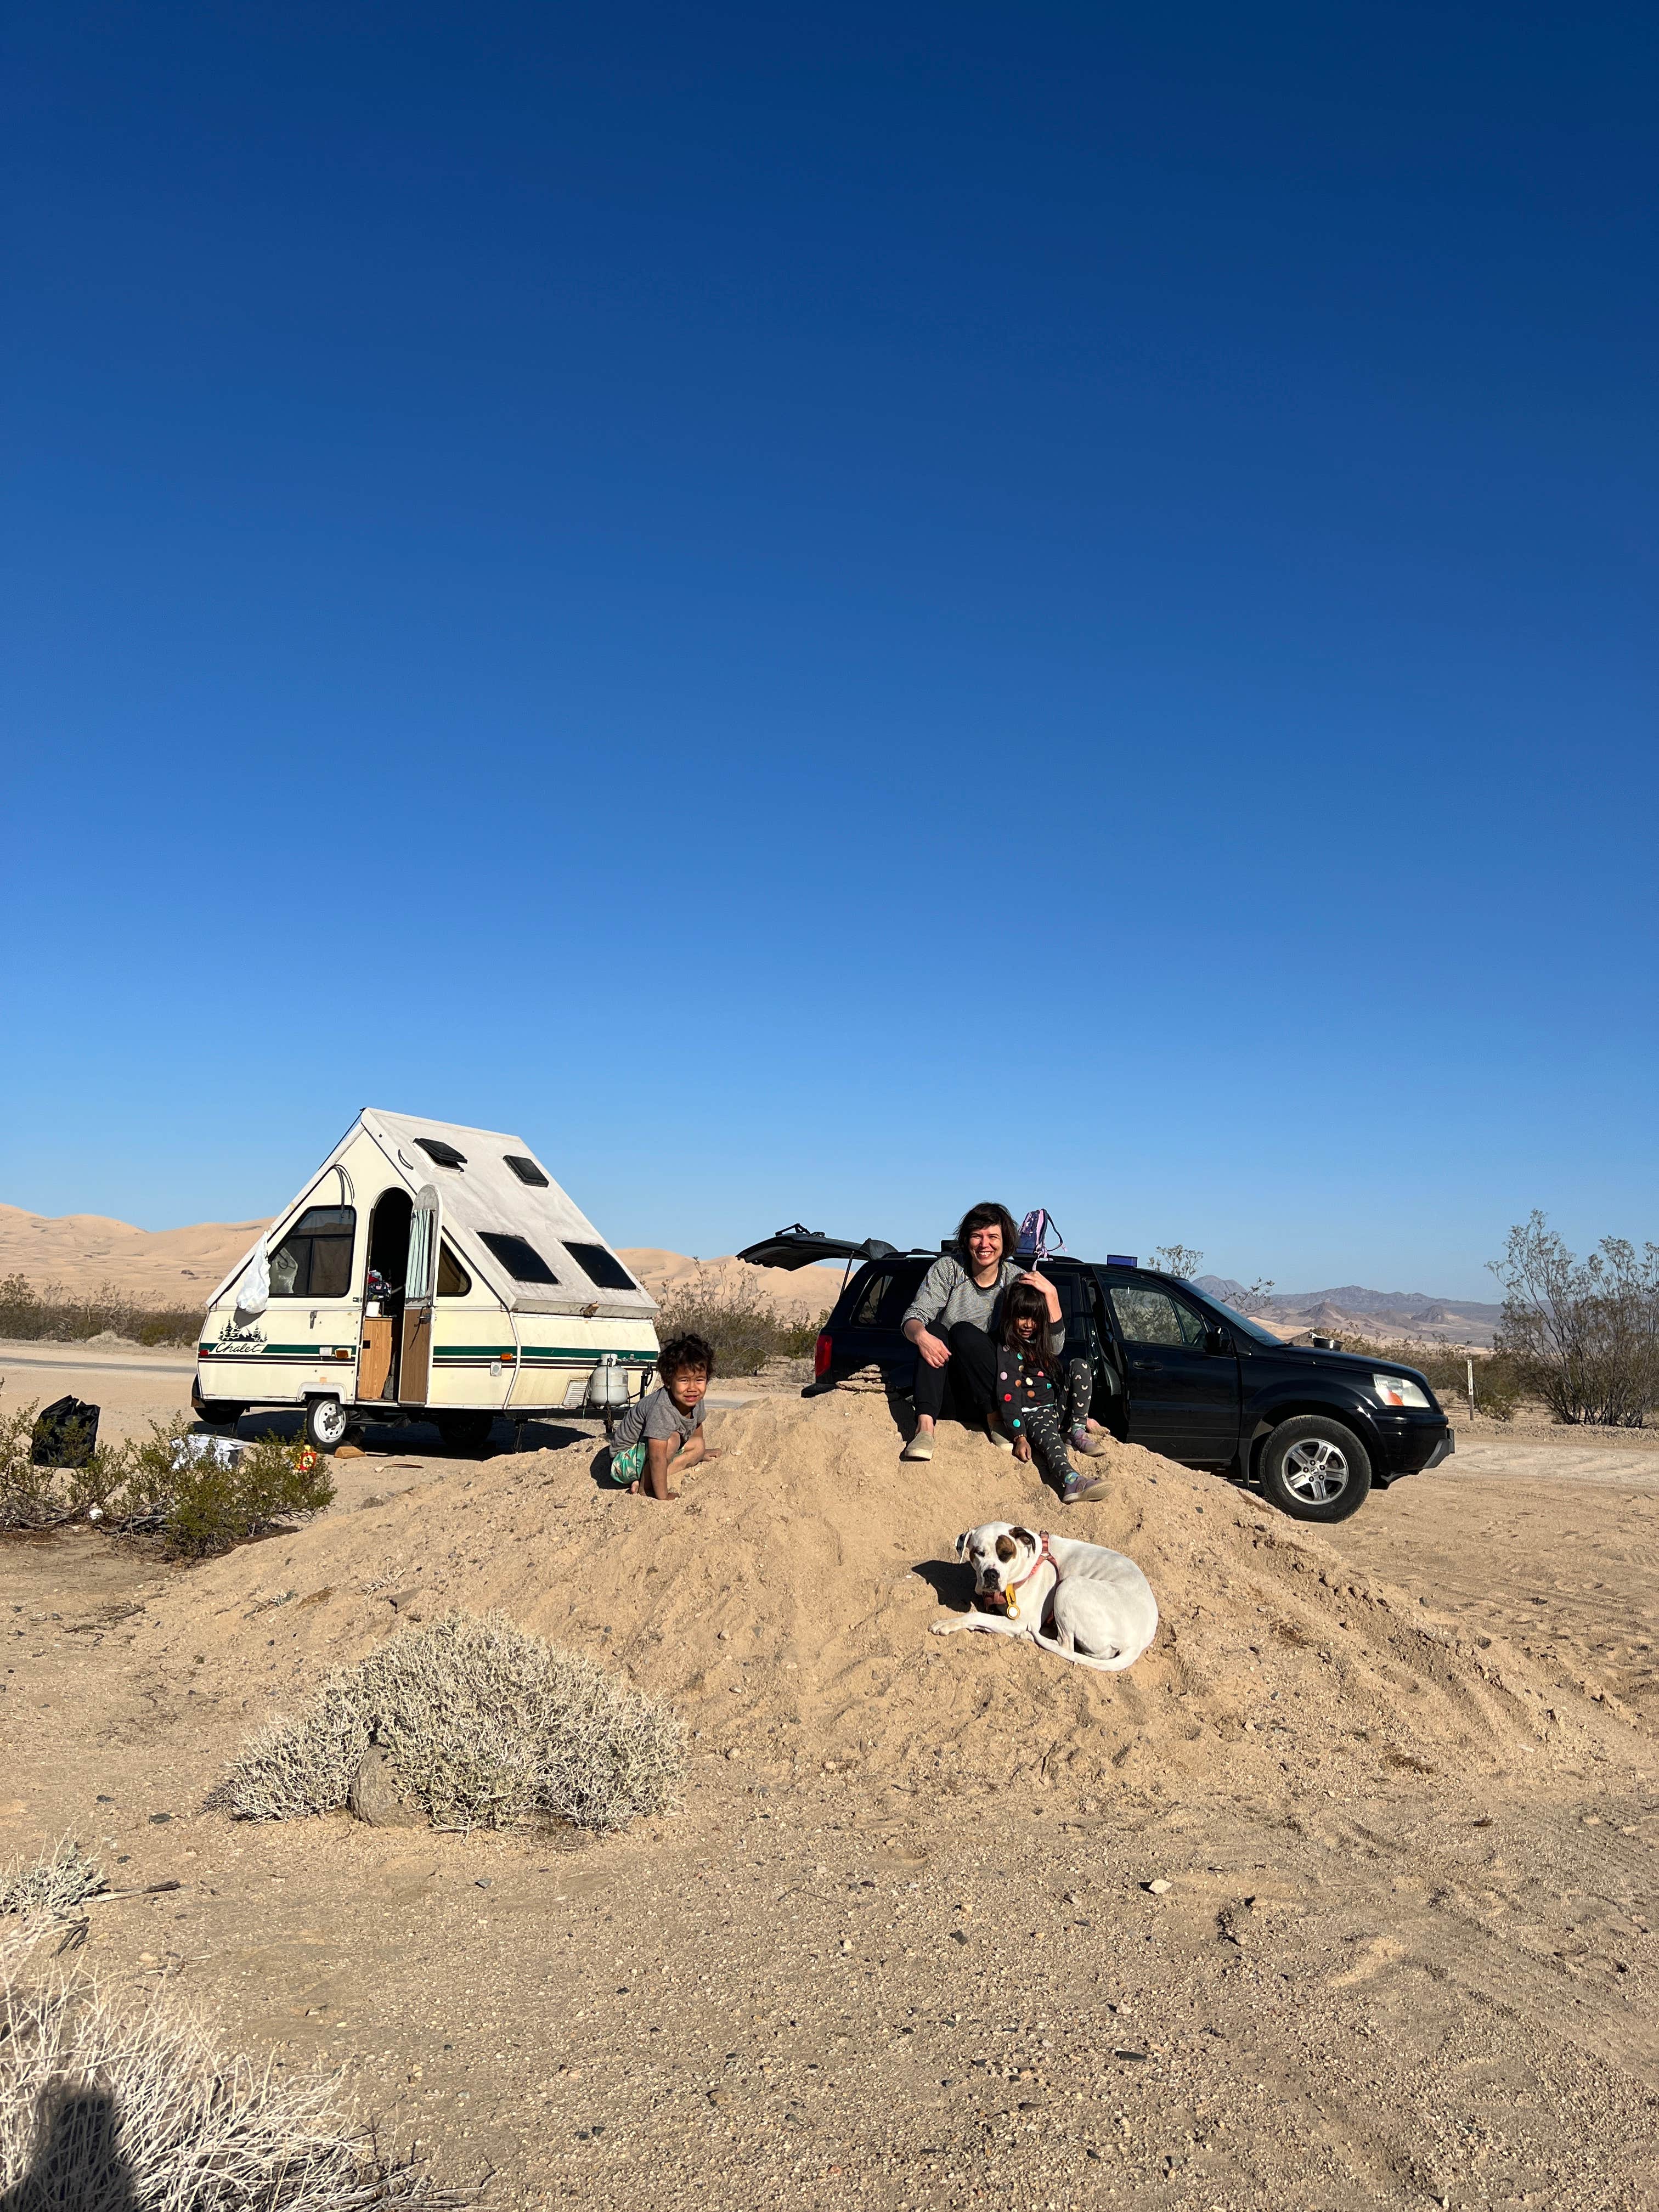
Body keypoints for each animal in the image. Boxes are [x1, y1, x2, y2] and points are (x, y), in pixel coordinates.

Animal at [938, 1531, 1159, 1663]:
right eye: (979, 1553)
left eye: (1006, 1554)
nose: (991, 1574)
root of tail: (1137, 1643)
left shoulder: (1020, 1621)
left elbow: (977, 1616)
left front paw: (948, 1624)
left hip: (1068, 1586)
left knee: (1066, 1645)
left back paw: (1031, 1636)